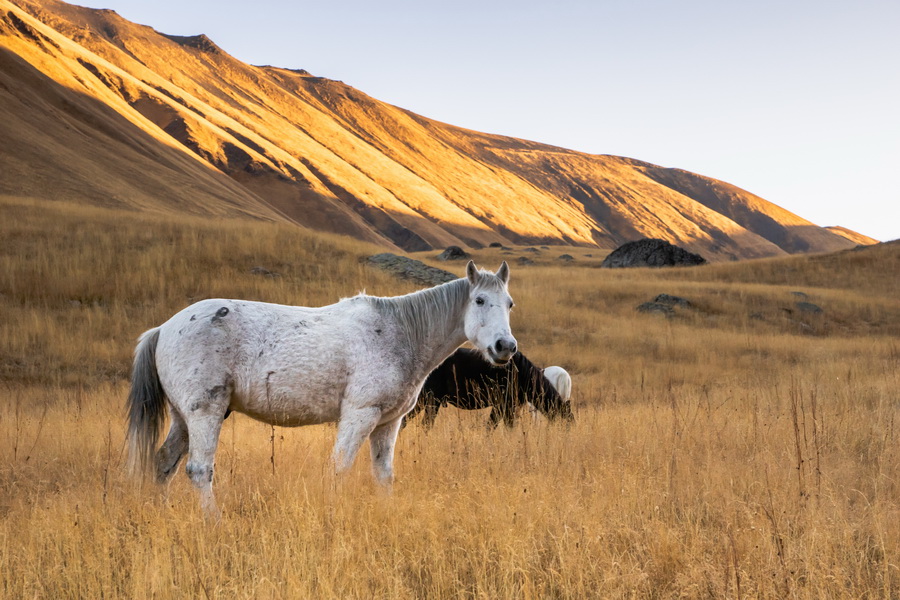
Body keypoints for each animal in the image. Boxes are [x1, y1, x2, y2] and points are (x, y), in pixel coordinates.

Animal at [128, 260, 520, 512]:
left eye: (510, 303)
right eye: (479, 300)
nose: (506, 347)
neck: (400, 332)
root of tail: (164, 328)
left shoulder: (388, 422)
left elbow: (383, 475)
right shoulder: (360, 416)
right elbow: (340, 468)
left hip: (183, 418)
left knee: (164, 463)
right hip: (204, 413)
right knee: (198, 470)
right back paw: (214, 522)